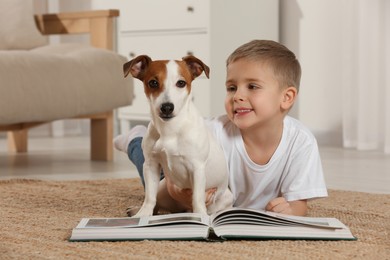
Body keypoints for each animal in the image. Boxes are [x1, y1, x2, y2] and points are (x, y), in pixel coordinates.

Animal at [122, 53, 232, 216]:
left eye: (181, 83)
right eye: (153, 83)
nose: (167, 107)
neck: (170, 130)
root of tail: (180, 208)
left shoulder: (197, 167)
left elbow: (197, 198)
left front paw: (200, 216)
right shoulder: (150, 165)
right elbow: (150, 197)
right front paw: (143, 215)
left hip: (225, 197)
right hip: (163, 186)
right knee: (157, 202)